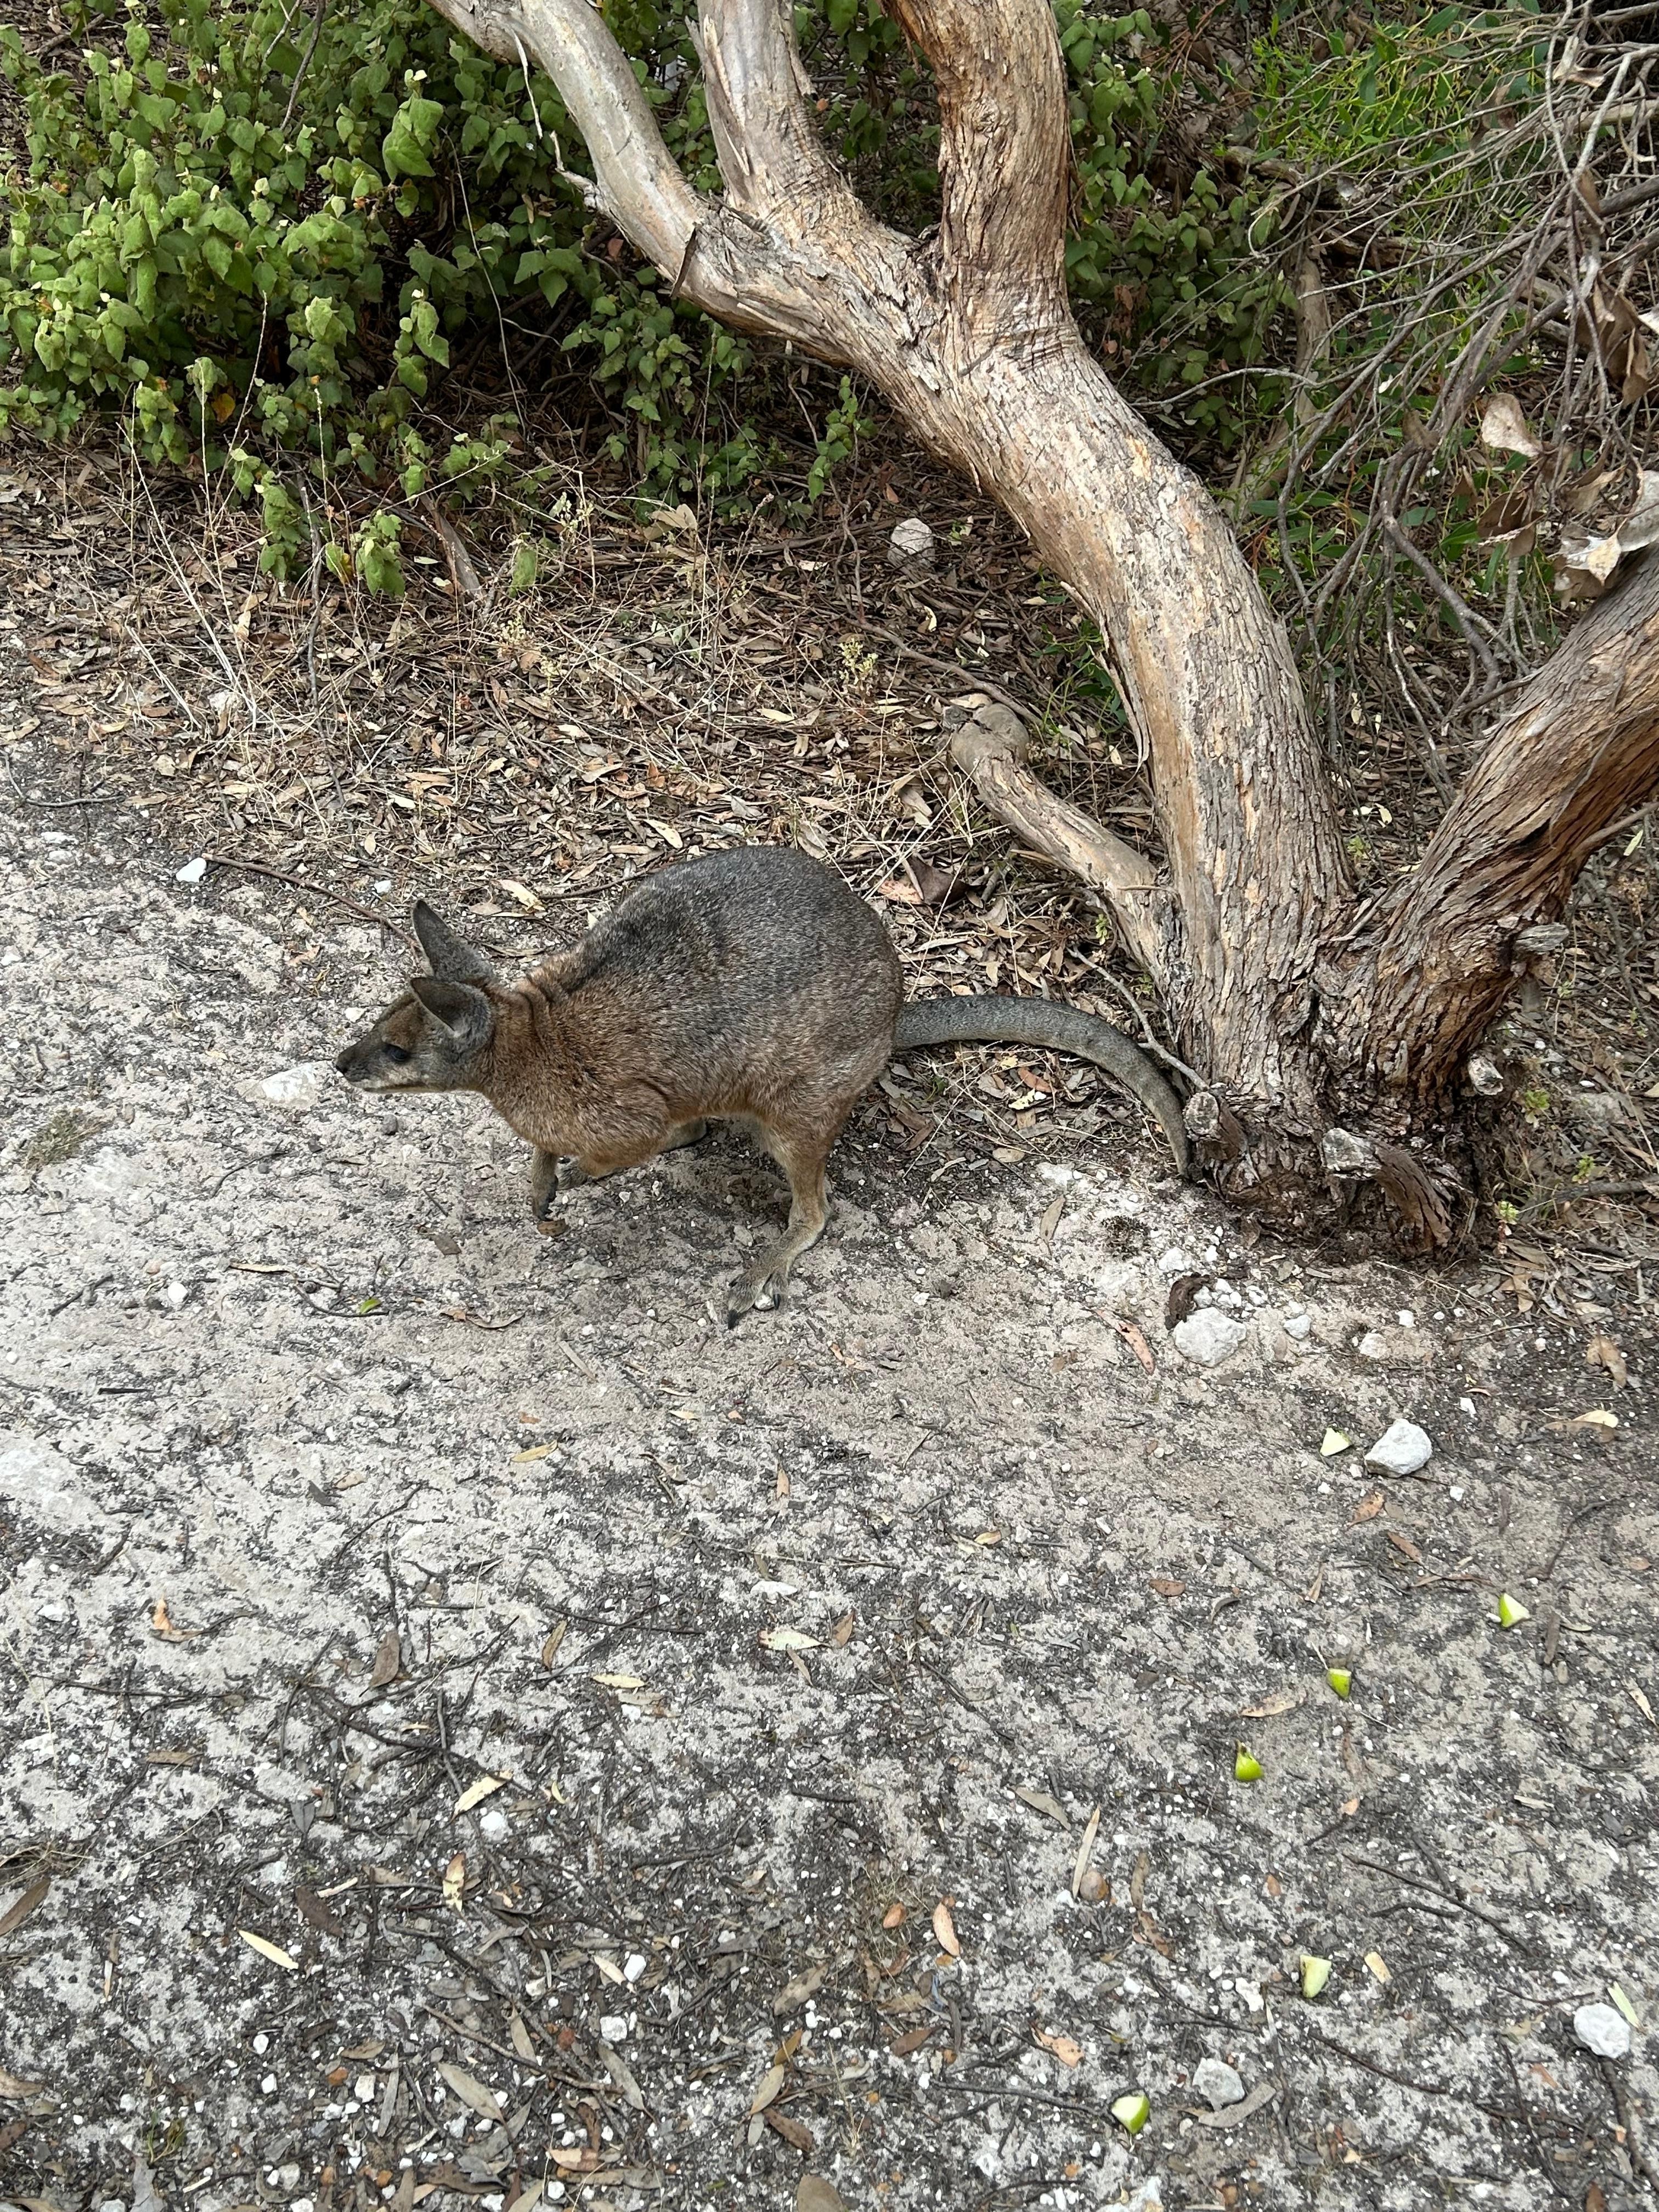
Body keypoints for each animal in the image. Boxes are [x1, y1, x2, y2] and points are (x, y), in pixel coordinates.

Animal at [334, 846, 1187, 1323]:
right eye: (379, 1029)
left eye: (396, 1050)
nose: (341, 1065)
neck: (527, 1044)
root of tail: (893, 1013)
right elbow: (548, 1155)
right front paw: (543, 1187)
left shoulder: (625, 1113)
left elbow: (617, 1149)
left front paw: (571, 1177)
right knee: (705, 1128)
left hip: (797, 1103)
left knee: (815, 1208)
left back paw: (761, 1273)